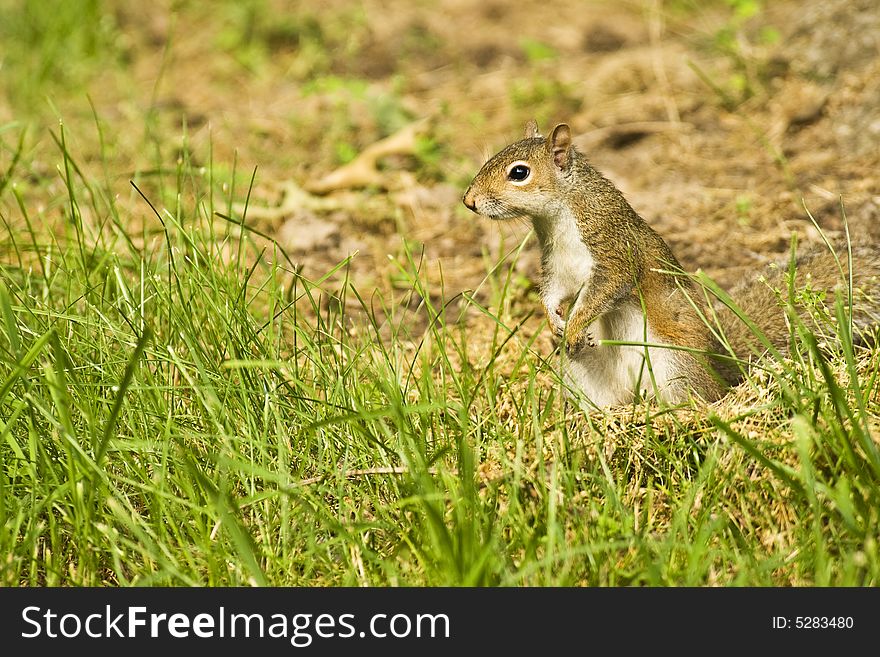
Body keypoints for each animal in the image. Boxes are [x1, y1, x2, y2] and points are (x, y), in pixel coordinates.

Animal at [460, 118, 880, 404]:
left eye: (519, 173)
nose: (469, 201)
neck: (558, 218)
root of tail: (718, 369)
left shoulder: (614, 250)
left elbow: (606, 290)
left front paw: (575, 324)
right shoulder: (557, 266)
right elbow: (551, 294)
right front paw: (554, 323)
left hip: (674, 368)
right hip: (584, 376)